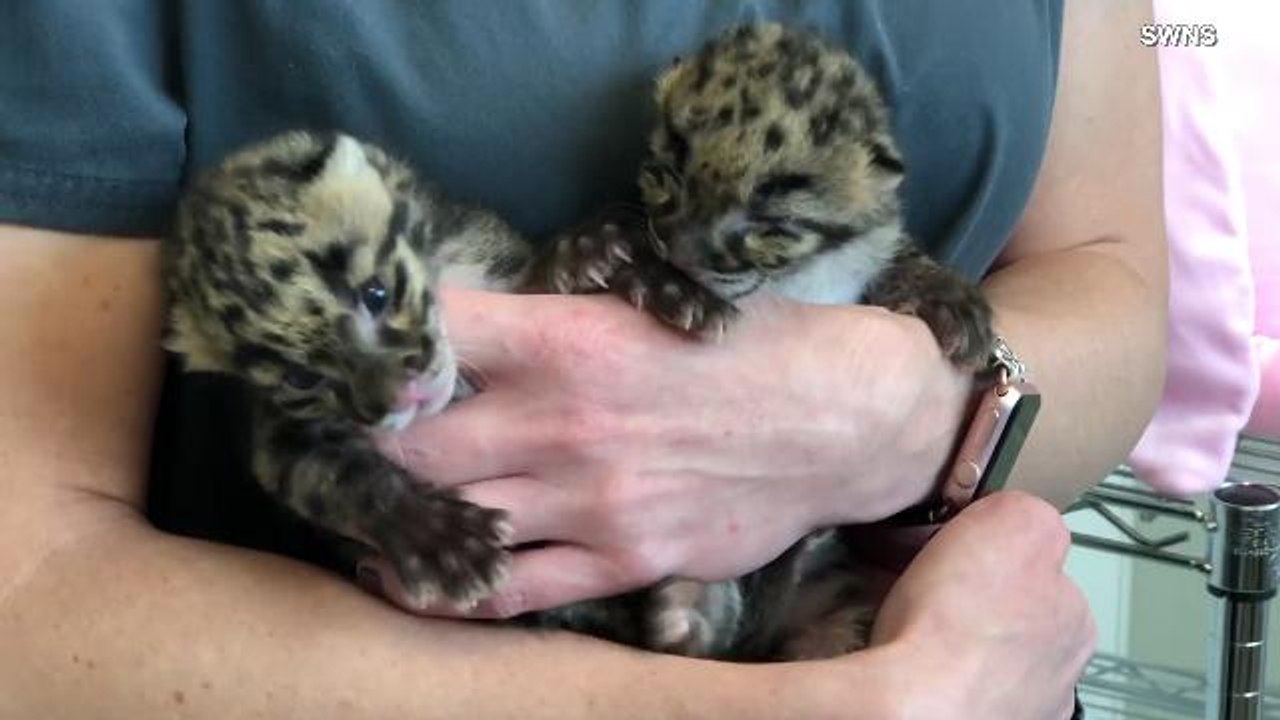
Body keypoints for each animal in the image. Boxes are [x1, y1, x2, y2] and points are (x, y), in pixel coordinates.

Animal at [547, 23, 997, 660]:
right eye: (667, 176)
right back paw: (686, 608)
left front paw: (950, 299)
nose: (681, 257)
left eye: (771, 225)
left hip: (829, 599)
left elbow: (896, 252)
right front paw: (613, 256)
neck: (799, 277)